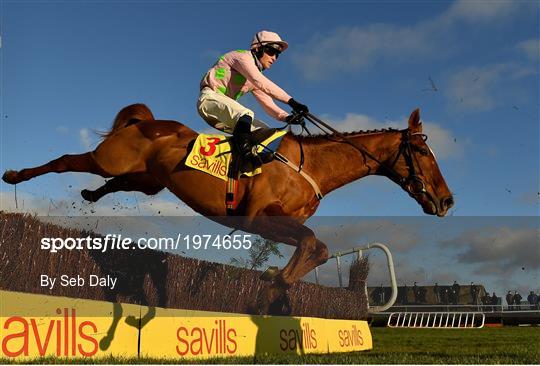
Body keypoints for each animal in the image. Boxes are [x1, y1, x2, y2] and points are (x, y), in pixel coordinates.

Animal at [2, 103, 454, 314]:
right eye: (422, 152)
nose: (448, 201)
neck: (310, 166)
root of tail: (143, 123)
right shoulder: (261, 219)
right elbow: (315, 245)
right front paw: (269, 289)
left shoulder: (280, 226)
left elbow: (315, 250)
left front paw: (271, 287)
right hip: (109, 159)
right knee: (66, 160)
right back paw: (15, 175)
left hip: (147, 180)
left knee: (114, 184)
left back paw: (90, 196)